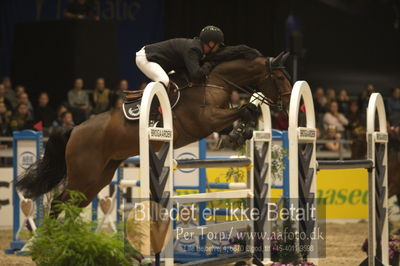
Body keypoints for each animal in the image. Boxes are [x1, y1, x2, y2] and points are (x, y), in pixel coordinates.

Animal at [15, 50, 292, 212]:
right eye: (279, 78)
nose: (289, 107)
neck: (213, 82)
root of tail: (74, 130)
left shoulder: (217, 119)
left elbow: (245, 113)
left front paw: (240, 133)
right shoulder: (205, 120)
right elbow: (245, 109)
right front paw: (239, 131)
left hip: (98, 177)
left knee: (70, 206)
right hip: (83, 175)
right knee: (57, 204)